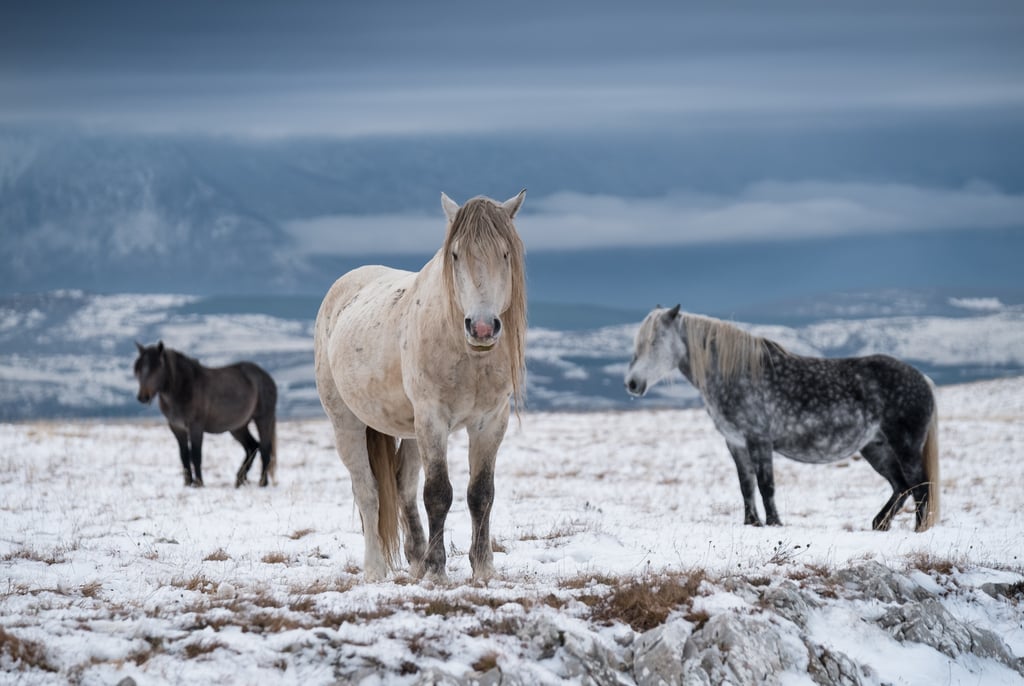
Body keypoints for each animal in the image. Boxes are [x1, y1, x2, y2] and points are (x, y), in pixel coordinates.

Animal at [136, 341, 280, 489]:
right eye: (139, 370)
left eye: (156, 369)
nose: (143, 397)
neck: (183, 387)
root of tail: (267, 378)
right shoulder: (177, 428)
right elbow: (184, 455)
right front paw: (187, 483)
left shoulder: (196, 427)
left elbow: (196, 455)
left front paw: (198, 483)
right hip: (238, 427)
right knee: (252, 447)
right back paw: (239, 480)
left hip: (263, 419)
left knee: (264, 449)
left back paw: (262, 483)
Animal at [313, 190, 528, 581]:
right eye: (455, 254)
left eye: (505, 253)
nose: (482, 328)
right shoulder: (433, 419)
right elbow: (439, 494)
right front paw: (438, 571)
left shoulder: (491, 422)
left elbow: (481, 493)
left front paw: (483, 569)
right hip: (347, 424)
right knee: (368, 491)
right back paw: (375, 569)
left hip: (411, 430)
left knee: (402, 485)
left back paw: (415, 560)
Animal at [622, 309, 937, 536]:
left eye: (654, 342)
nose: (632, 384)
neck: (735, 373)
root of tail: (923, 379)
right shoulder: (736, 443)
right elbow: (746, 485)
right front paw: (752, 523)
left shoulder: (759, 440)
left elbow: (766, 485)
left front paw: (774, 524)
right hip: (875, 447)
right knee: (901, 485)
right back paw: (879, 524)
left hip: (905, 445)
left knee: (919, 486)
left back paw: (918, 531)